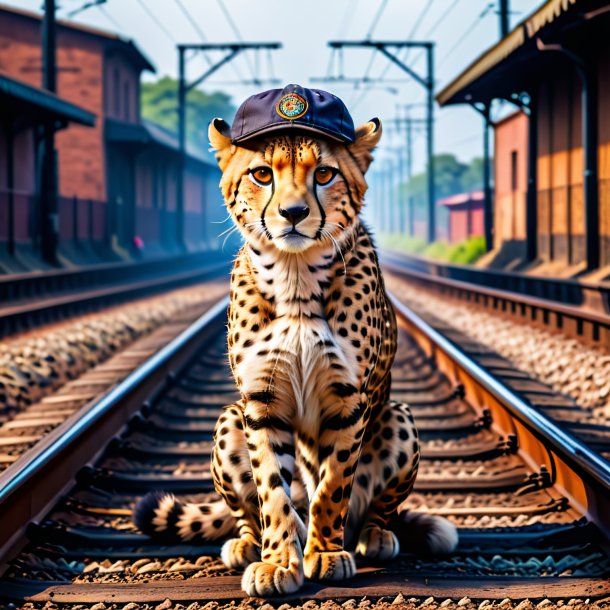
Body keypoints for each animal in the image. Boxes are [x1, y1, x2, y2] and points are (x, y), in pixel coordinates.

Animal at [134, 110, 456, 592]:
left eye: (324, 174)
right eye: (262, 174)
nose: (293, 213)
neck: (295, 272)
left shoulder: (348, 400)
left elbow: (332, 484)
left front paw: (322, 553)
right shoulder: (261, 402)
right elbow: (272, 489)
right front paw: (279, 562)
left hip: (398, 417)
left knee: (376, 508)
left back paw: (375, 535)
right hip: (229, 419)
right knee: (249, 512)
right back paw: (248, 544)